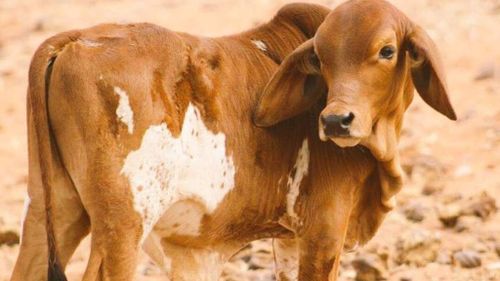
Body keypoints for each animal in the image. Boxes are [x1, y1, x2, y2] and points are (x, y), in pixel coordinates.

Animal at [13, 0, 456, 280]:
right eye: (320, 57)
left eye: (387, 51)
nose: (335, 121)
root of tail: (74, 41)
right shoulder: (324, 230)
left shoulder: (292, 239)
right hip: (123, 224)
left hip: (53, 208)